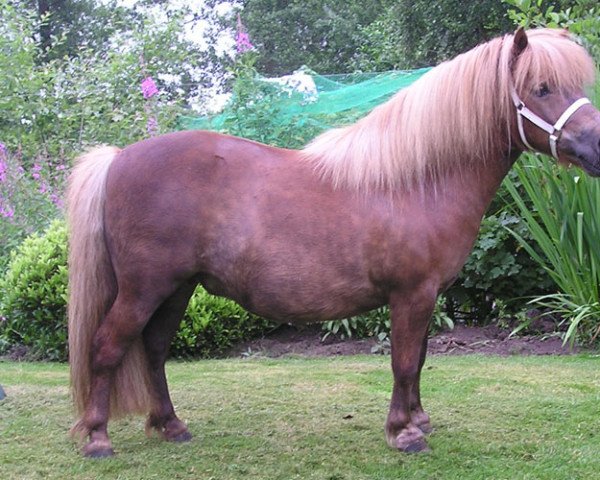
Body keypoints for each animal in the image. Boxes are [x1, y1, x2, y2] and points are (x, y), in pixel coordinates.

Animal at [65, 28, 600, 456]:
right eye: (542, 88)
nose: (597, 148)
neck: (416, 181)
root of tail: (118, 158)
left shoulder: (427, 296)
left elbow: (420, 360)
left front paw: (418, 419)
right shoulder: (411, 294)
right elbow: (404, 361)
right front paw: (404, 433)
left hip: (176, 288)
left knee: (153, 350)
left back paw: (170, 426)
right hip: (144, 288)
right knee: (108, 347)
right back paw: (98, 438)